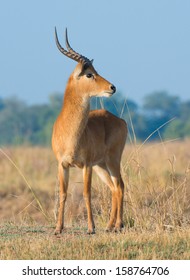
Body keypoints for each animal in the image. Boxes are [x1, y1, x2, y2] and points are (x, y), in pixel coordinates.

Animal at [51, 28, 127, 234]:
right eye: (89, 74)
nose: (112, 87)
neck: (70, 134)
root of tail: (120, 120)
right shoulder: (62, 165)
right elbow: (63, 193)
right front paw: (58, 228)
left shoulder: (86, 165)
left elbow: (86, 193)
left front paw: (91, 228)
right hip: (101, 165)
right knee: (113, 187)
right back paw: (109, 226)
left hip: (112, 160)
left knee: (120, 185)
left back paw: (118, 225)